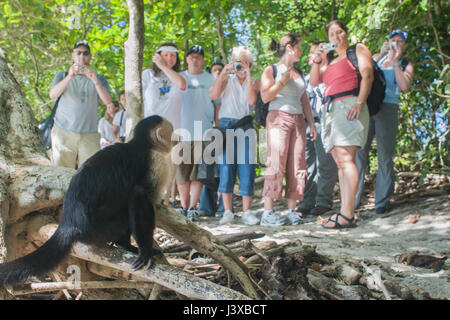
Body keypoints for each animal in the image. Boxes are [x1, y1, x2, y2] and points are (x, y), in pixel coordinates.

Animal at [0, 115, 174, 288]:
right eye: (172, 133)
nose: (177, 139)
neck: (142, 144)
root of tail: (68, 225)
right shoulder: (157, 163)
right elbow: (140, 196)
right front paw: (146, 251)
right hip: (95, 231)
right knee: (125, 214)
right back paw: (126, 245)